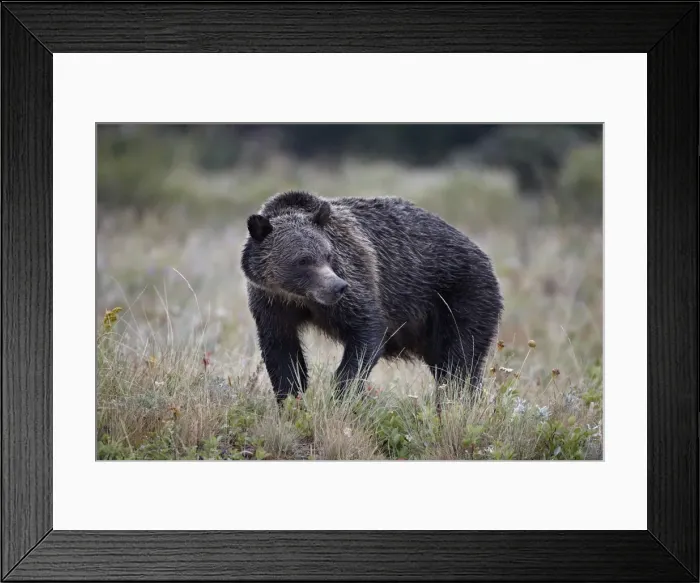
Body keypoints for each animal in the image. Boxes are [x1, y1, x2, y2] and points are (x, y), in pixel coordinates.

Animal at [240, 190, 504, 403]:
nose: (338, 286)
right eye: (303, 260)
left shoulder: (356, 275)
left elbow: (366, 331)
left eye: (328, 255)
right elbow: (281, 352)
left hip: (460, 296)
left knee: (460, 362)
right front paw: (291, 399)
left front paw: (342, 395)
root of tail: (483, 255)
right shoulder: (272, 304)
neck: (299, 298)